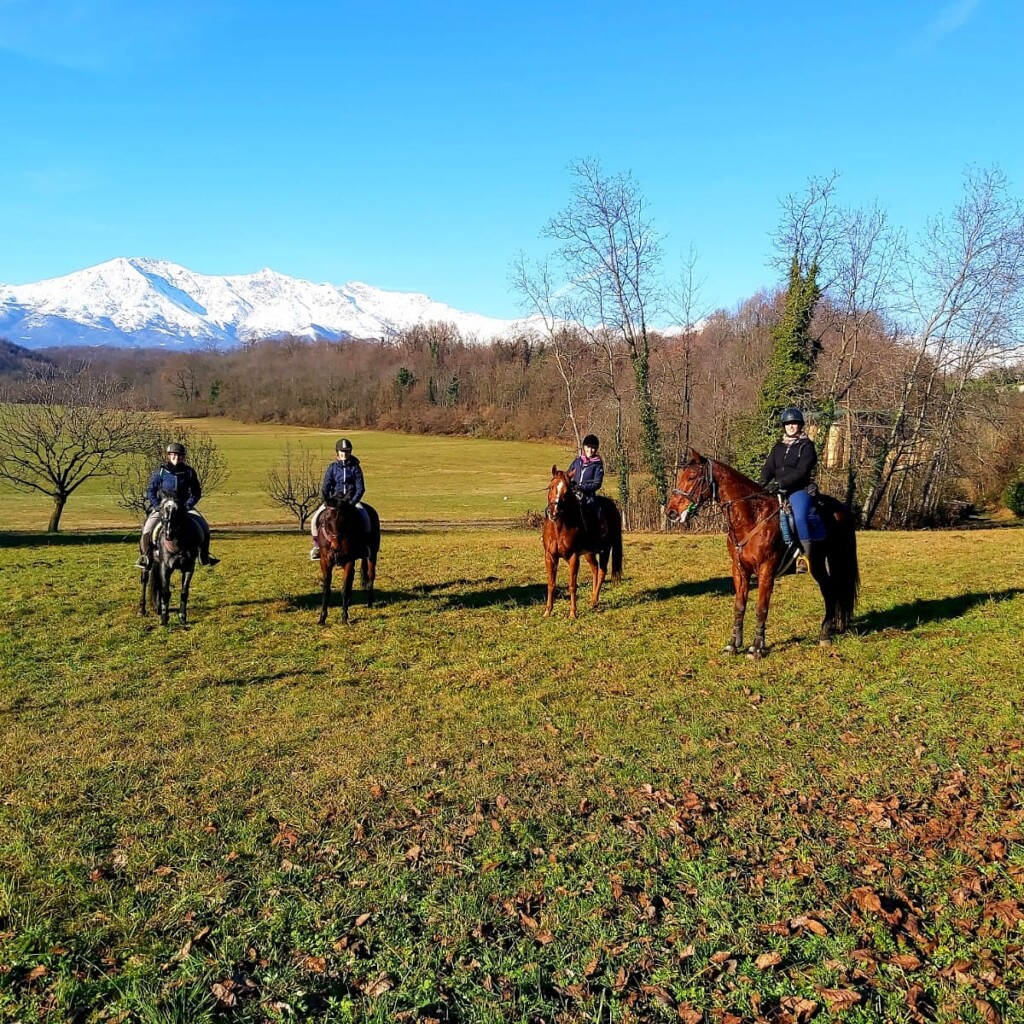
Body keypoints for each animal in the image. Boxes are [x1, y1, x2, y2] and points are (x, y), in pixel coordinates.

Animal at [139, 495, 201, 626]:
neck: (177, 543)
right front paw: (164, 619)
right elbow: (166, 592)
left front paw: (182, 617)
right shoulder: (165, 567)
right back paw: (141, 610)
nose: (168, 534)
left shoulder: (188, 568)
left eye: (178, 511)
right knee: (144, 582)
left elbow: (184, 592)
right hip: (147, 563)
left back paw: (158, 608)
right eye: (162, 510)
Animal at [543, 467, 623, 618]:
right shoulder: (550, 556)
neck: (559, 527)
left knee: (602, 572)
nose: (553, 513)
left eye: (566, 491)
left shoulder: (573, 557)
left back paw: (594, 601)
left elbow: (572, 585)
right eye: (551, 487)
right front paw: (547, 611)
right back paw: (593, 599)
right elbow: (551, 583)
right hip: (589, 553)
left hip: (605, 549)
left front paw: (572, 613)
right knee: (595, 569)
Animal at [666, 449, 859, 657]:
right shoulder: (739, 570)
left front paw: (757, 647)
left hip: (819, 562)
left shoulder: (766, 570)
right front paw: (733, 645)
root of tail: (840, 509)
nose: (671, 512)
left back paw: (825, 634)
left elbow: (761, 608)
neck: (752, 517)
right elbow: (739, 606)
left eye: (692, 477)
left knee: (829, 589)